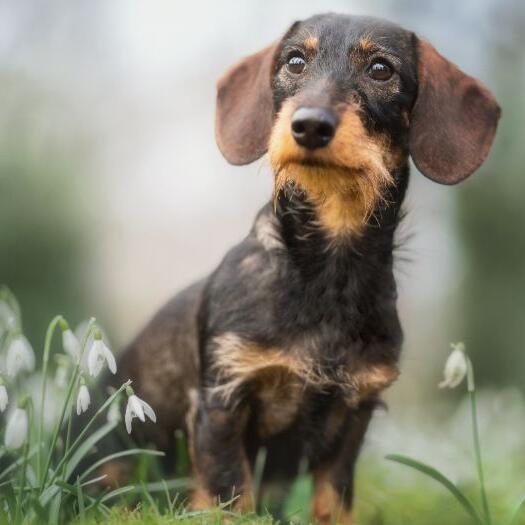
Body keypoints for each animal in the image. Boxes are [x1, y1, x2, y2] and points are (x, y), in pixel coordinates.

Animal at [104, 12, 498, 524]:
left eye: (381, 69)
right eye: (294, 61)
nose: (310, 125)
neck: (326, 272)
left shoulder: (355, 413)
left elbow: (334, 498)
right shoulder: (222, 400)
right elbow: (230, 492)